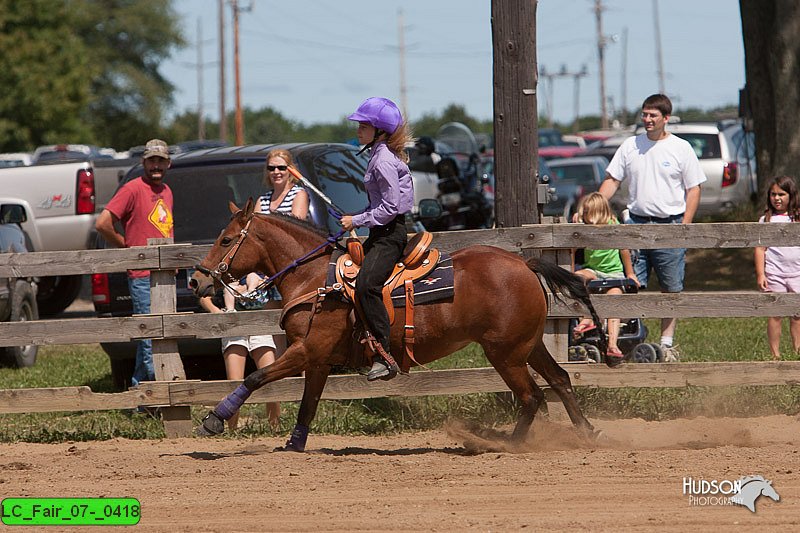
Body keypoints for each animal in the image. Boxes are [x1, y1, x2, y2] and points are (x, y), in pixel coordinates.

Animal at [191, 197, 608, 450]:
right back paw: (587, 432)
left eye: (227, 238)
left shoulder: (306, 350)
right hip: (527, 346)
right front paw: (294, 444)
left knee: (533, 396)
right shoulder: (318, 360)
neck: (313, 278)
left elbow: (254, 377)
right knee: (560, 380)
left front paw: (212, 420)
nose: (196, 281)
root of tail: (525, 263)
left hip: (504, 354)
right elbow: (308, 404)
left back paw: (505, 442)